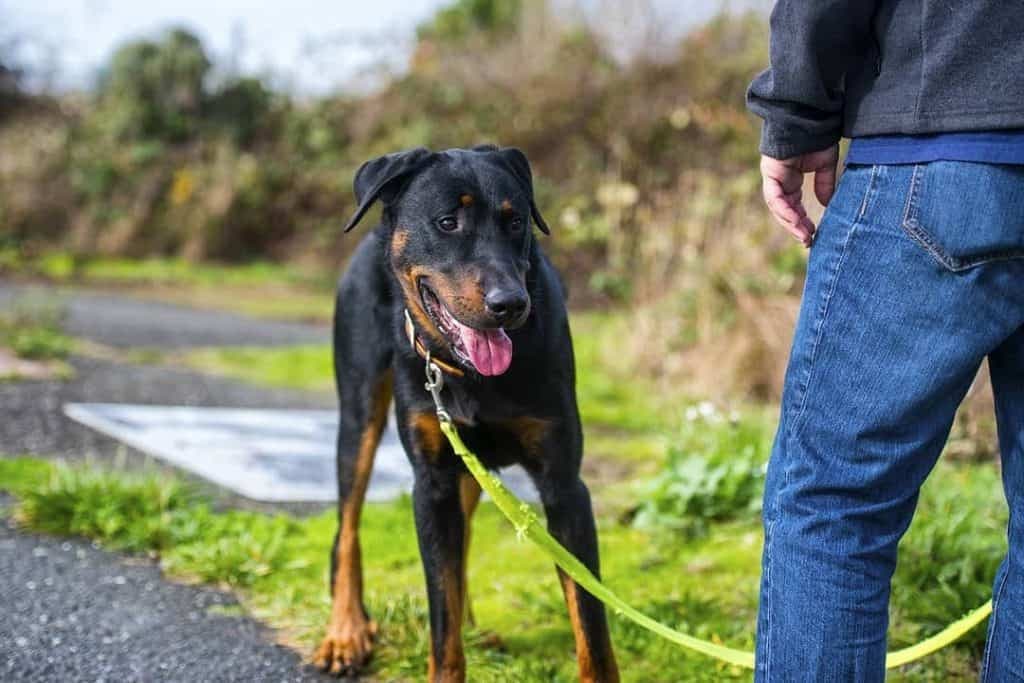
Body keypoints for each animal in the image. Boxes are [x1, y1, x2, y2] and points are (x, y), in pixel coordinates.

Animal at [313, 145, 614, 683]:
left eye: (515, 222)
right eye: (447, 222)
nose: (509, 303)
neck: (473, 374)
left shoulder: (564, 486)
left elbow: (590, 624)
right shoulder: (431, 483)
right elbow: (441, 616)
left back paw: (473, 628)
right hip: (359, 412)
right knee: (347, 527)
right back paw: (345, 631)